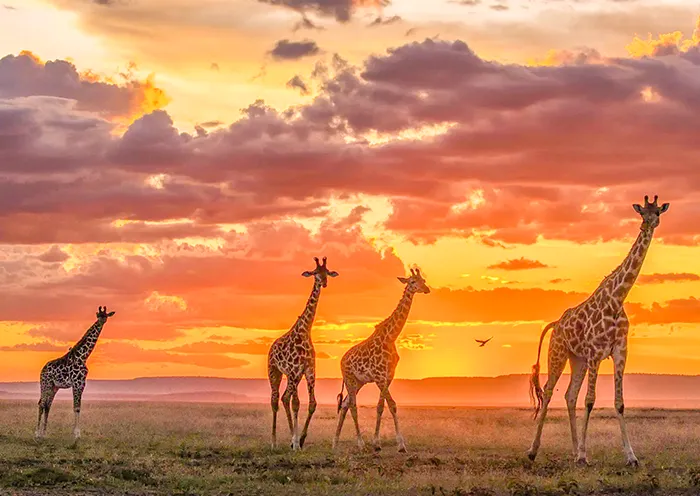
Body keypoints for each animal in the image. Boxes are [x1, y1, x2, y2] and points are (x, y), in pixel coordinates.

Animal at [35, 306, 116, 440]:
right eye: (99, 315)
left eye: (105, 315)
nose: (101, 321)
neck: (83, 356)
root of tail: (42, 369)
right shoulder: (77, 383)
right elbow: (76, 407)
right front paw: (76, 434)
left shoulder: (82, 383)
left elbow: (78, 407)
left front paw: (77, 433)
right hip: (45, 384)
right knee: (41, 403)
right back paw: (37, 433)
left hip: (54, 386)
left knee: (47, 405)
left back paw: (44, 433)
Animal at [267, 256, 338, 451]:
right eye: (315, 273)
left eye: (327, 272)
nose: (324, 282)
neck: (305, 331)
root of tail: (271, 347)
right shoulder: (293, 370)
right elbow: (293, 402)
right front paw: (295, 441)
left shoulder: (308, 369)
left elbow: (311, 403)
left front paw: (300, 440)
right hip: (275, 372)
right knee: (276, 399)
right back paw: (274, 442)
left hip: (294, 376)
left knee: (288, 399)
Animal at [332, 267, 430, 452]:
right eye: (412, 281)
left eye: (424, 280)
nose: (427, 289)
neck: (391, 337)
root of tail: (341, 360)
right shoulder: (379, 376)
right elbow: (385, 405)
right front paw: (381, 443)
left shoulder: (389, 376)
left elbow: (386, 406)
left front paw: (390, 443)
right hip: (349, 379)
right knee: (353, 405)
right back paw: (360, 443)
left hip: (359, 382)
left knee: (345, 404)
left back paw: (336, 440)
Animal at [527, 195, 669, 467]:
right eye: (641, 212)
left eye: (658, 211)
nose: (648, 223)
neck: (616, 299)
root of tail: (556, 324)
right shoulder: (595, 353)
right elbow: (590, 400)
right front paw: (584, 456)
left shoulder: (620, 352)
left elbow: (619, 402)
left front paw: (631, 457)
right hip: (559, 353)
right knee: (549, 392)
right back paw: (533, 451)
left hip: (578, 359)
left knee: (569, 395)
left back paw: (574, 451)